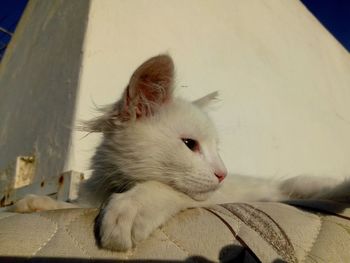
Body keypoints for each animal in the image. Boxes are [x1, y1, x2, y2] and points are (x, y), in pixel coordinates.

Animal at [12, 54, 348, 252]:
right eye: (190, 145)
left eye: (216, 150)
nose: (223, 173)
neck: (117, 182)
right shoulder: (92, 195)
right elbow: (76, 205)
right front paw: (39, 203)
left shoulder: (215, 197)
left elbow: (161, 188)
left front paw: (131, 208)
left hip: (302, 185)